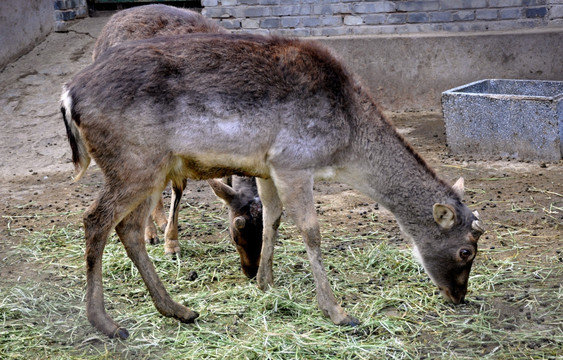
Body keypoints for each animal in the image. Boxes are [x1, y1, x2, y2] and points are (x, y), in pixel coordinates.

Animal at [60, 32, 484, 338]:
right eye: (466, 251)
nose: (458, 296)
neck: (345, 145)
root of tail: (68, 95)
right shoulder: (292, 161)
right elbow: (311, 231)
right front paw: (338, 312)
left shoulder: (266, 169)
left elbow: (273, 219)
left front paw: (265, 283)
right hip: (133, 163)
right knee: (95, 219)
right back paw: (107, 324)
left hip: (153, 171)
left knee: (128, 228)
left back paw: (180, 310)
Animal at [89, 4, 264, 278]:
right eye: (236, 232)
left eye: (264, 233)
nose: (251, 271)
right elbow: (179, 187)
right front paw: (171, 246)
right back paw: (150, 233)